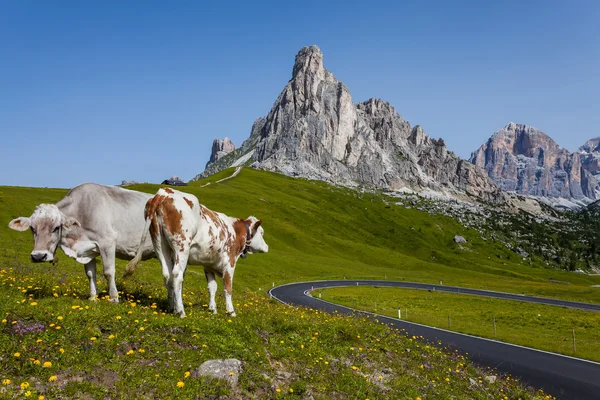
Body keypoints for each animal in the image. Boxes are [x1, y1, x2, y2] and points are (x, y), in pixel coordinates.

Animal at [8, 183, 155, 302]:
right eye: (32, 228)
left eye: (56, 228)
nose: (38, 256)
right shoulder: (88, 249)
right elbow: (90, 274)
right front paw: (93, 298)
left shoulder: (108, 240)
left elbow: (108, 272)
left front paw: (113, 298)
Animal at [123, 188, 268, 318]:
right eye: (261, 233)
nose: (267, 247)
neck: (235, 231)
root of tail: (163, 192)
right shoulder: (230, 262)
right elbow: (228, 287)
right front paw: (231, 312)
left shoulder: (208, 264)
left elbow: (212, 287)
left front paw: (212, 309)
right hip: (182, 246)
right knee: (177, 275)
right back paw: (181, 311)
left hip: (159, 244)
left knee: (167, 274)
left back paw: (172, 308)